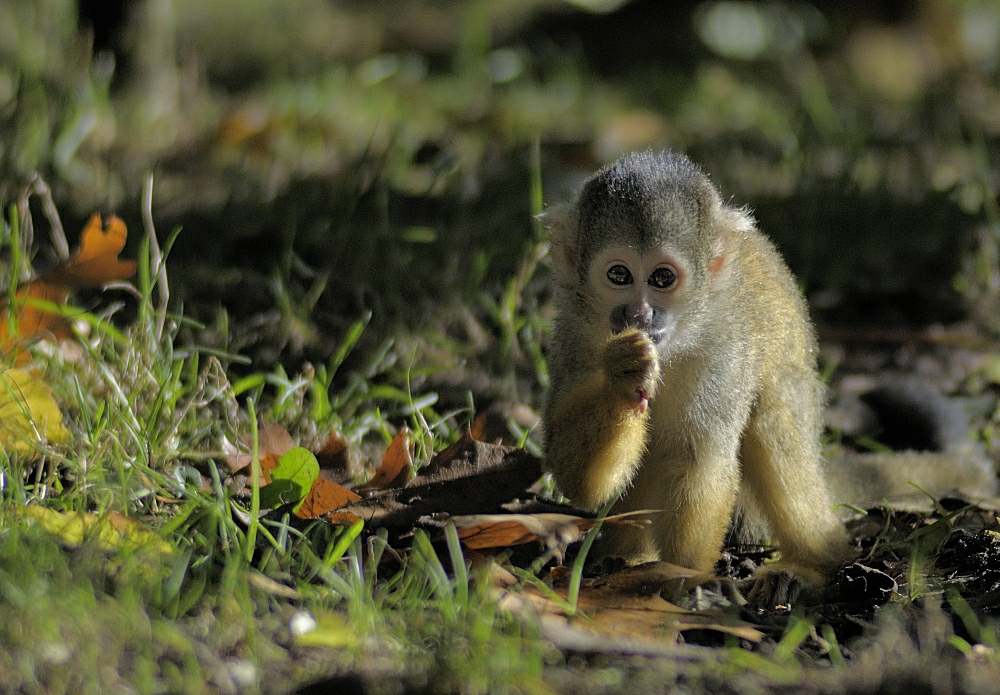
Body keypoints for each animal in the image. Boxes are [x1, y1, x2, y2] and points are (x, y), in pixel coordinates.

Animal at [544, 151, 856, 588]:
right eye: (619, 275)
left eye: (662, 278)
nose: (640, 314)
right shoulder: (575, 335)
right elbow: (577, 477)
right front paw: (622, 374)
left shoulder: (723, 350)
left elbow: (699, 461)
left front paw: (684, 578)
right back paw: (628, 559)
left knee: (773, 419)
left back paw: (814, 561)